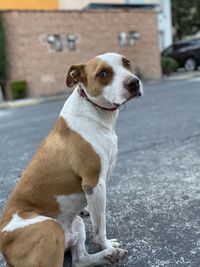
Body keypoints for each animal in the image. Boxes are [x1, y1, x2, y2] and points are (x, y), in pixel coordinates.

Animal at [0, 52, 142, 267]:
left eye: (127, 63)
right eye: (102, 74)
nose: (134, 82)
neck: (94, 110)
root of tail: (4, 250)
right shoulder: (94, 184)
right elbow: (100, 228)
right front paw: (107, 244)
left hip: (75, 224)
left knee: (79, 260)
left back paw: (109, 256)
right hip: (49, 227)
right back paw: (109, 252)